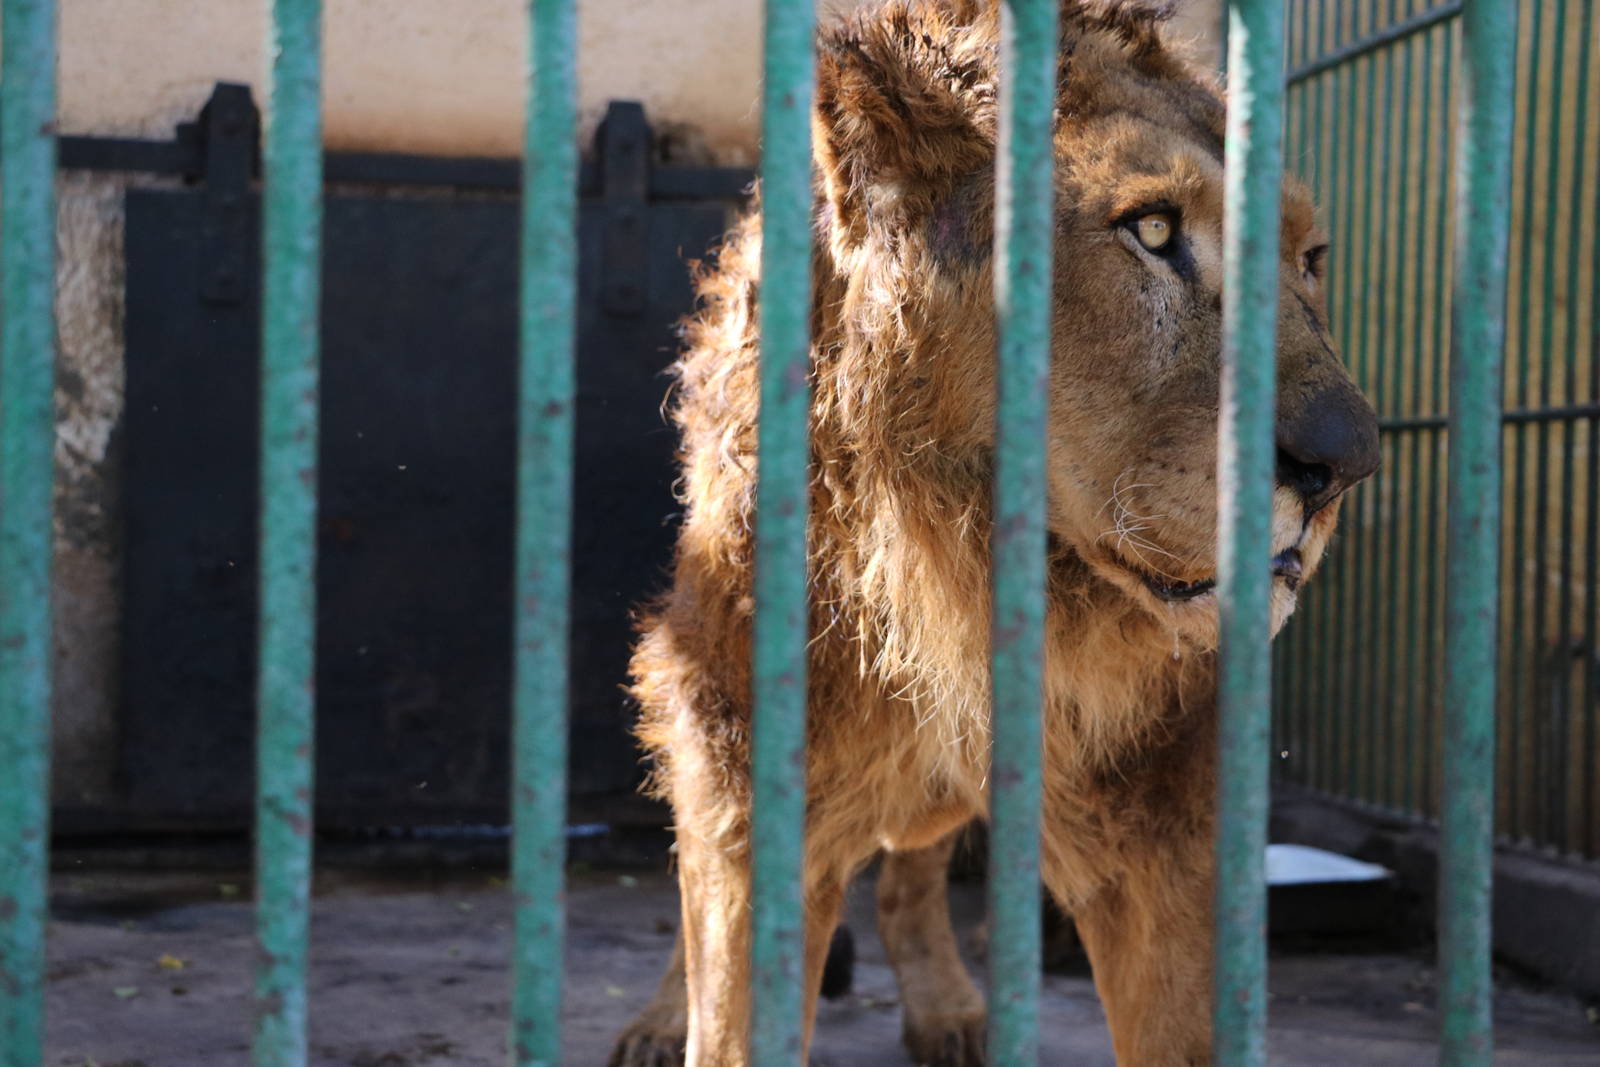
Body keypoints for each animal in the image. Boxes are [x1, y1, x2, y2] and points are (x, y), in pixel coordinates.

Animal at [611, 1, 1379, 1064]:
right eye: (1152, 229)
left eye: (1310, 260)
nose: (1349, 462)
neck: (955, 565)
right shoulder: (740, 762)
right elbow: (726, 994)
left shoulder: (1164, 821)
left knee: (910, 872)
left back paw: (946, 1007)